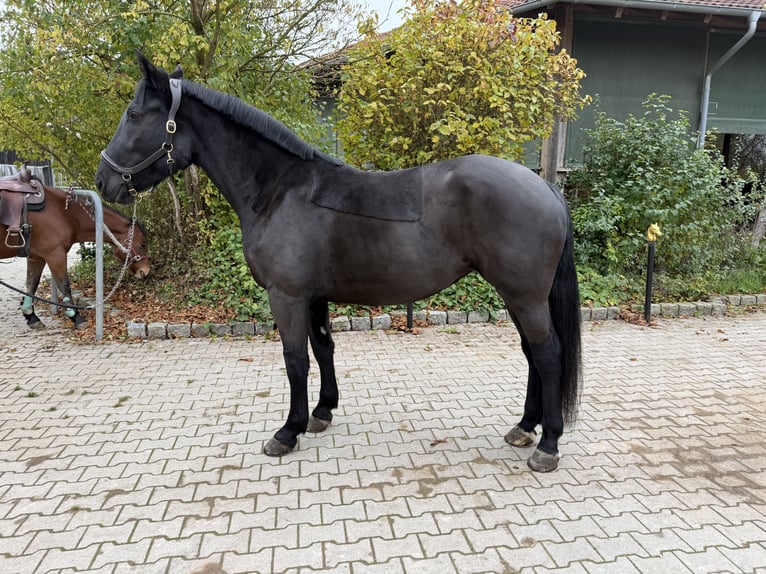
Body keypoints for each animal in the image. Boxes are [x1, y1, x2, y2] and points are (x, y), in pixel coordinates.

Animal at [0, 181, 150, 329]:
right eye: (143, 244)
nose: (146, 271)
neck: (65, 214)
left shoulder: (36, 257)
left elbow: (31, 284)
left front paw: (31, 316)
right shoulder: (55, 255)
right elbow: (64, 285)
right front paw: (76, 317)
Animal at [96, 52, 582, 472]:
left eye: (134, 115)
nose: (104, 181)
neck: (280, 190)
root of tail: (544, 187)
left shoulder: (287, 297)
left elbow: (295, 359)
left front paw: (287, 432)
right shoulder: (313, 297)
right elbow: (323, 348)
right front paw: (321, 412)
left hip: (524, 296)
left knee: (548, 354)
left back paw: (547, 445)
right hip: (517, 296)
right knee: (532, 353)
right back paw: (524, 427)